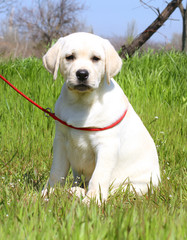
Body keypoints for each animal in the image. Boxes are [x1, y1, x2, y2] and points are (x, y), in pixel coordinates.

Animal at [42, 31, 161, 202]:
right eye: (70, 57)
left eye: (96, 58)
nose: (82, 74)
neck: (81, 102)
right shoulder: (61, 140)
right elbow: (56, 171)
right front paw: (49, 192)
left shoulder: (107, 145)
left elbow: (99, 176)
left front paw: (93, 200)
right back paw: (74, 190)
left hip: (136, 185)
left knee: (116, 190)